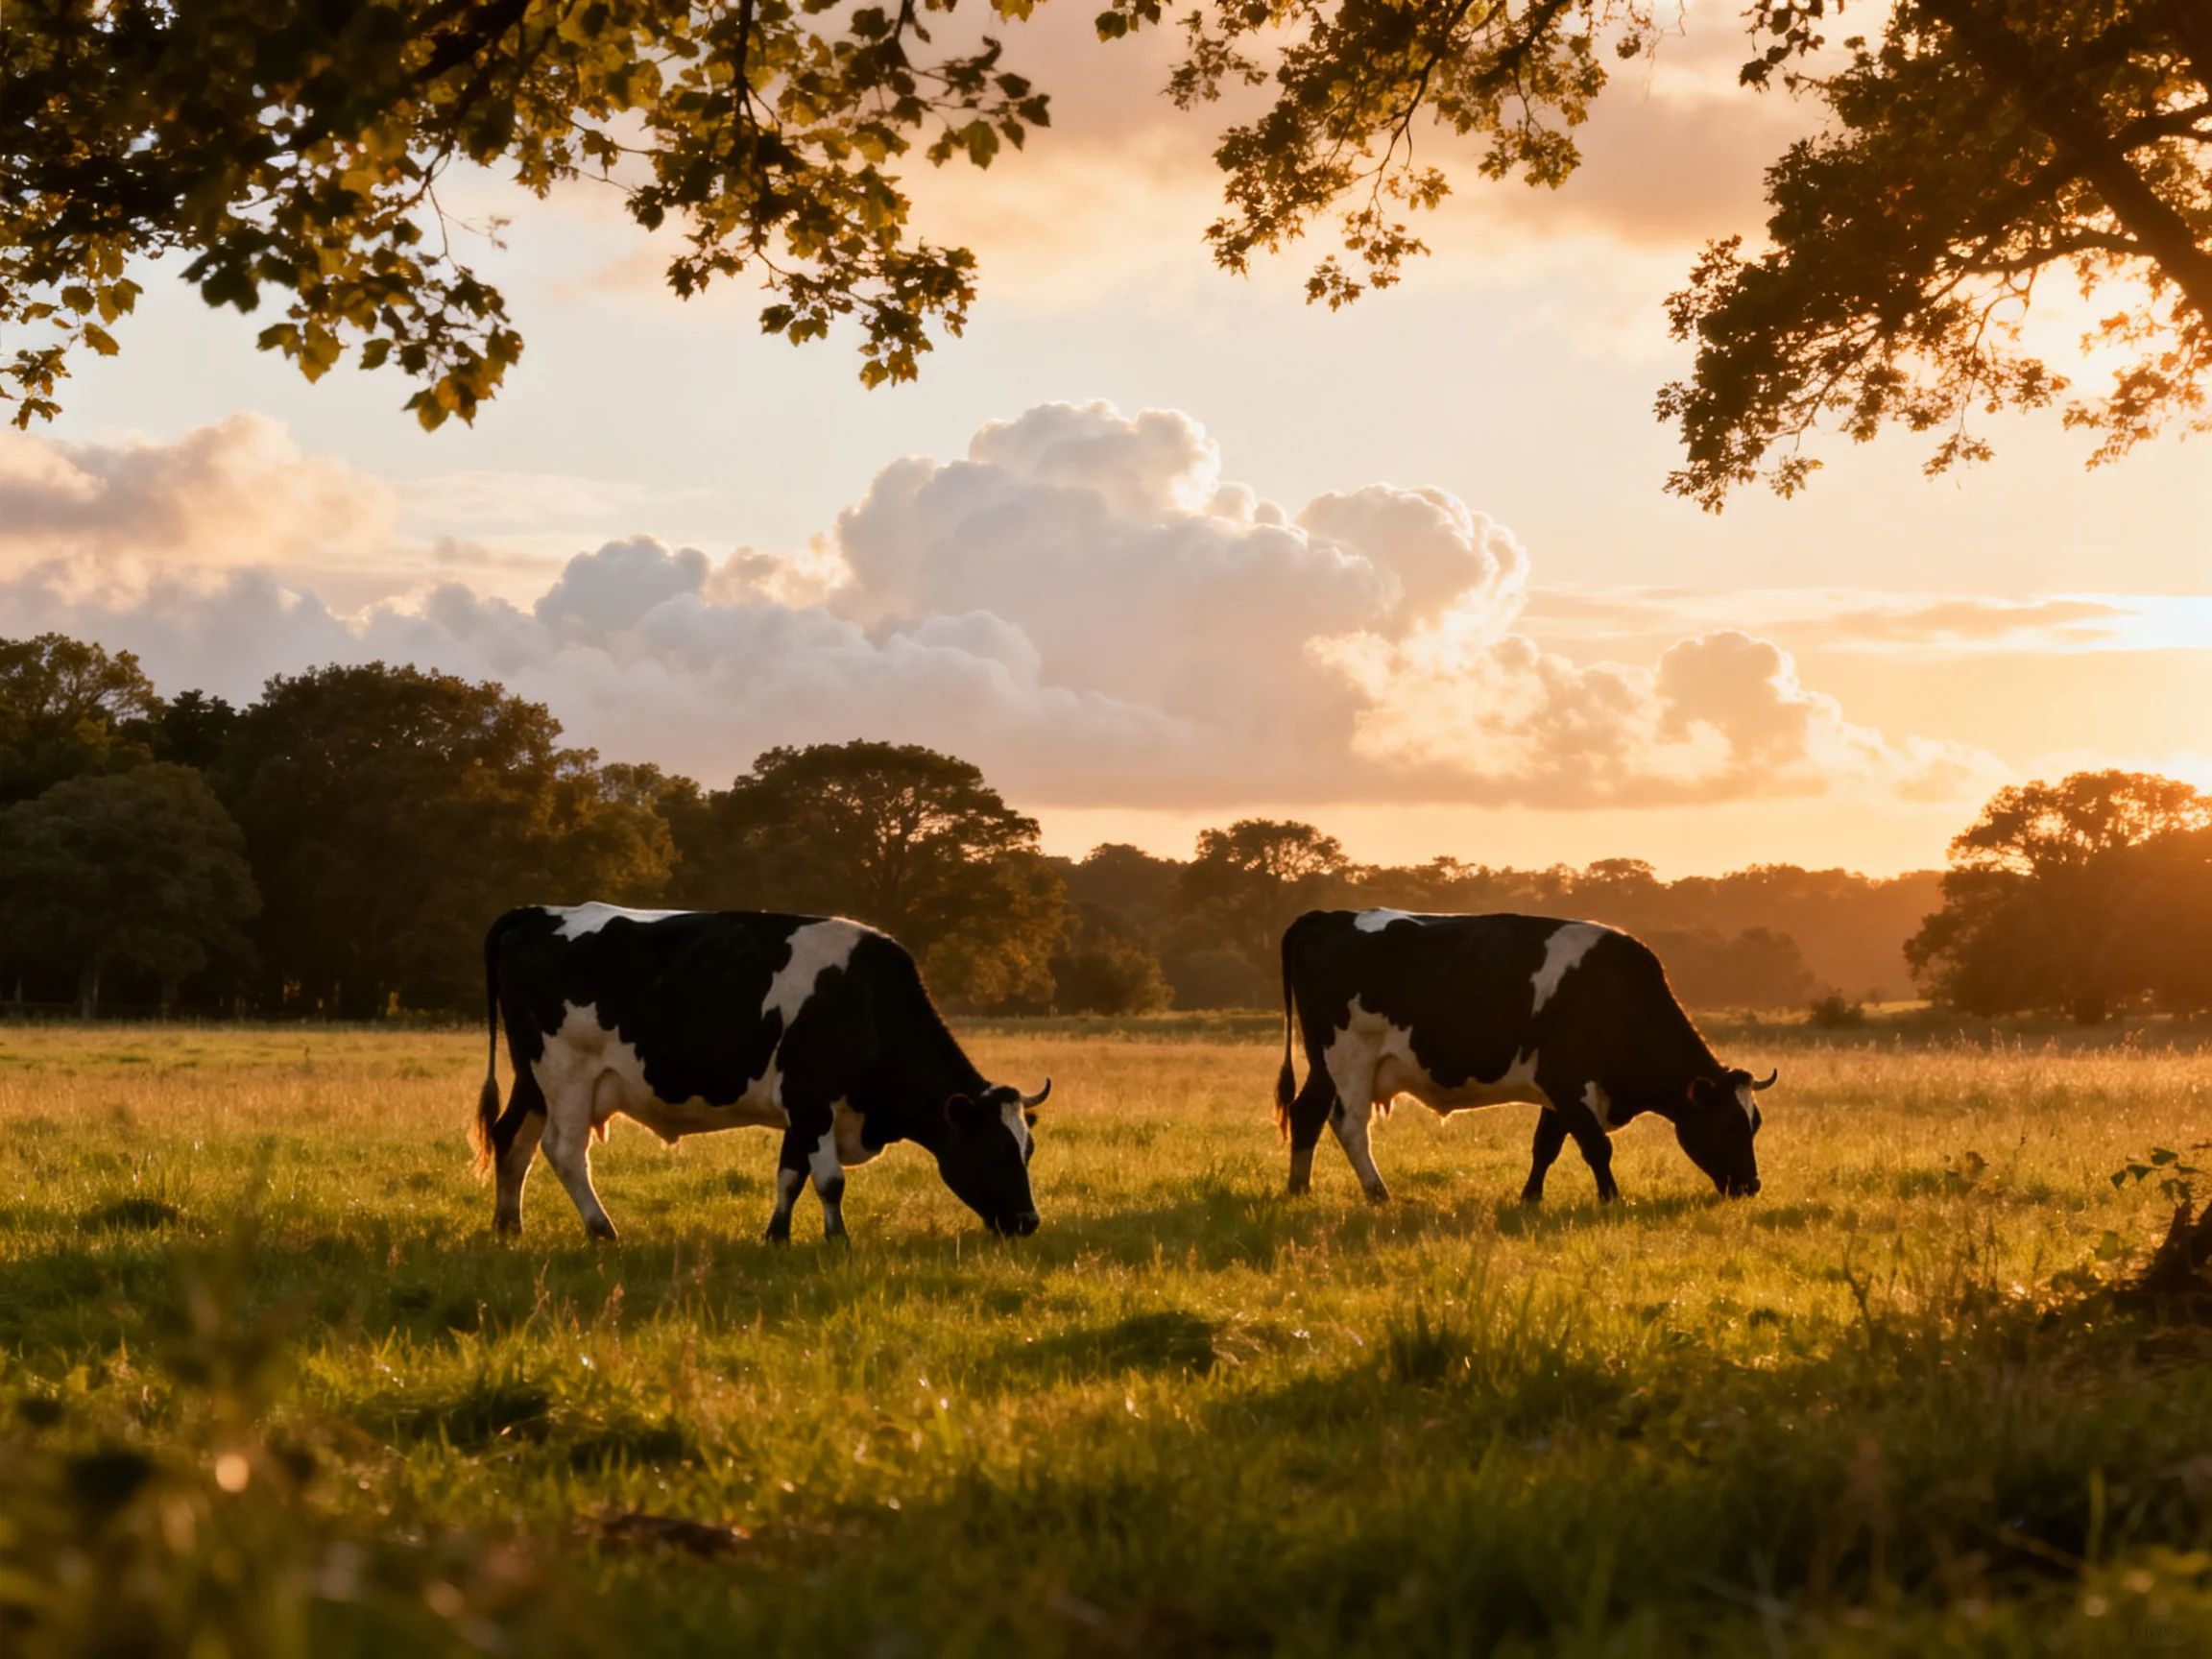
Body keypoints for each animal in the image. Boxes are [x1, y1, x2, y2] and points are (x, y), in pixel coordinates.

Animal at [474, 903, 1049, 1242]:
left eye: (1028, 1149)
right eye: (995, 1149)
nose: (1028, 1222)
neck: (865, 1000)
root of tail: (538, 912)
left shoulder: (802, 1109)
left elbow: (790, 1175)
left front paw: (777, 1235)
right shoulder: (813, 1098)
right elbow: (830, 1181)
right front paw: (837, 1239)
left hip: (534, 1078)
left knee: (511, 1140)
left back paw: (508, 1226)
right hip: (567, 1073)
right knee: (564, 1151)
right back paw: (601, 1229)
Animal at [1275, 909, 1775, 1205]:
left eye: (1754, 1124)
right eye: (1730, 1125)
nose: (1751, 1186)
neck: (1614, 993)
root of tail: (1330, 915)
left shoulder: (1557, 1091)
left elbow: (1545, 1146)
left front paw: (1530, 1198)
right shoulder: (1569, 1083)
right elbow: (1597, 1146)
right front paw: (1611, 1198)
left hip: (1324, 1065)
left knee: (1306, 1114)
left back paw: (1299, 1188)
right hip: (1349, 1058)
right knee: (1349, 1126)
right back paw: (1378, 1192)